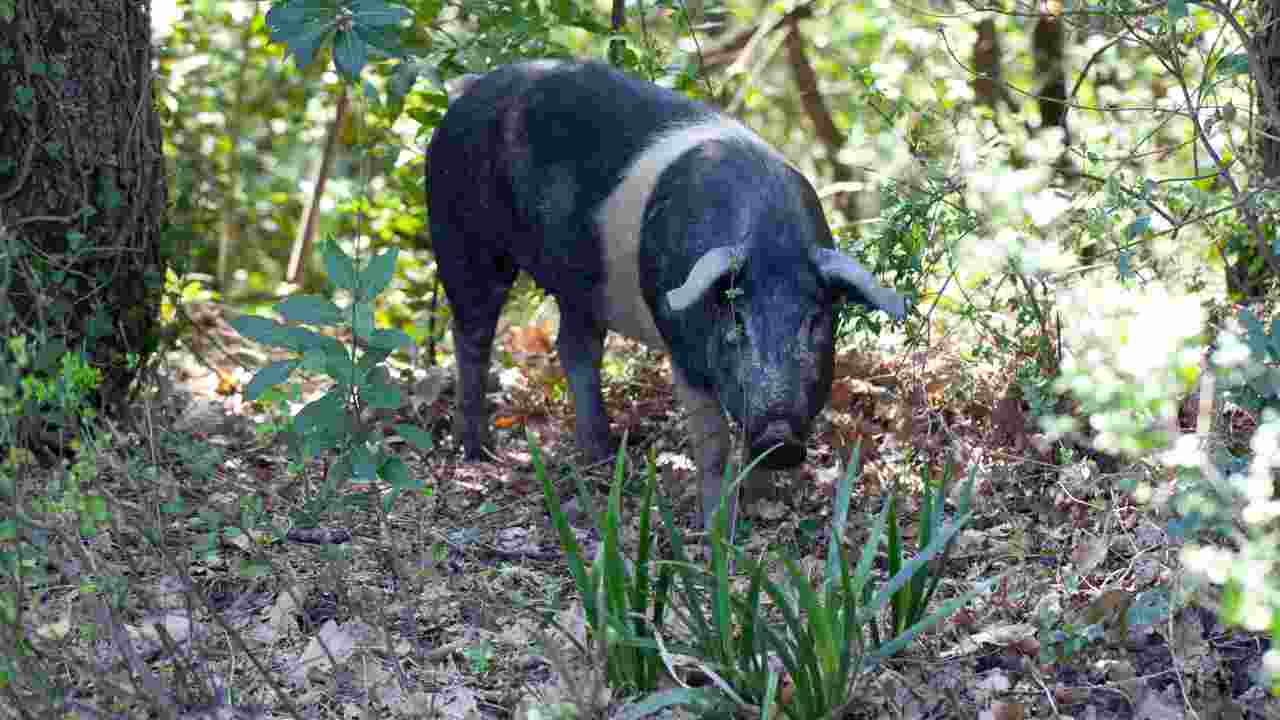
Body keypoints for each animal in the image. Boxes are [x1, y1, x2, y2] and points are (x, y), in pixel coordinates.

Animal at [424, 60, 906, 527]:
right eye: (737, 319)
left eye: (815, 320)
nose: (780, 437)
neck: (772, 242)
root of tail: (470, 89)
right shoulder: (682, 345)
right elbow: (712, 442)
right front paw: (716, 529)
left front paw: (766, 505)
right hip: (461, 237)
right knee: (471, 335)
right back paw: (480, 452)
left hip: (581, 287)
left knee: (574, 348)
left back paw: (601, 455)